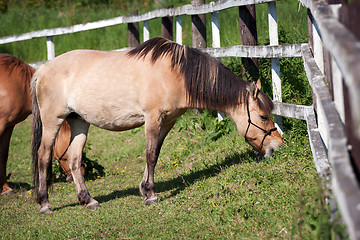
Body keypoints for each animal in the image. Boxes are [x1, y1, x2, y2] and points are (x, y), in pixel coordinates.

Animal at [31, 37, 284, 214]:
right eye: (263, 116)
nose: (278, 146)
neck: (175, 73)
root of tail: (41, 70)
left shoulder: (167, 121)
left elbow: (155, 154)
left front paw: (145, 189)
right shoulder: (152, 118)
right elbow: (150, 154)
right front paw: (151, 195)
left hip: (79, 122)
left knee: (74, 160)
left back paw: (88, 200)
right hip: (53, 121)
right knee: (43, 155)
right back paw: (44, 203)